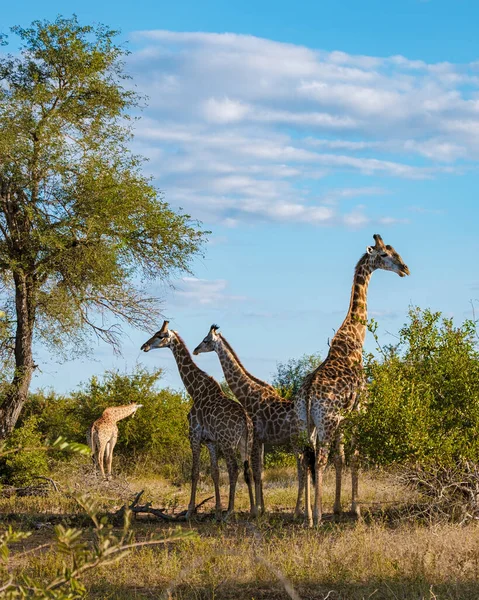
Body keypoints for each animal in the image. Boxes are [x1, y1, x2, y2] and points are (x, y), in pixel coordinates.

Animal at [141, 318, 256, 520]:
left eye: (160, 335)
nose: (144, 346)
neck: (194, 390)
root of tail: (245, 419)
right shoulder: (210, 441)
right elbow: (214, 472)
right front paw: (216, 510)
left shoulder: (193, 435)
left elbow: (195, 472)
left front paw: (189, 511)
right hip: (245, 442)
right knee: (246, 469)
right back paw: (253, 510)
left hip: (228, 442)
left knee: (234, 469)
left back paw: (230, 512)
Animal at [194, 326, 304, 516]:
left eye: (206, 340)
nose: (195, 350)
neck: (248, 394)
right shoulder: (261, 440)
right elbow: (260, 472)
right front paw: (262, 508)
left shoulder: (255, 438)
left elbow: (256, 472)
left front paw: (257, 510)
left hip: (296, 440)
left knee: (303, 469)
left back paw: (298, 510)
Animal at [296, 234, 412, 524]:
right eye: (384, 255)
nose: (405, 269)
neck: (354, 340)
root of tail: (308, 393)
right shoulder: (360, 410)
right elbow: (355, 457)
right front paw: (355, 509)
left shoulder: (343, 418)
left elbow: (341, 458)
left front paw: (338, 507)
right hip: (325, 421)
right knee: (320, 460)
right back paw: (317, 516)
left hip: (305, 423)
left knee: (304, 459)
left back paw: (305, 515)